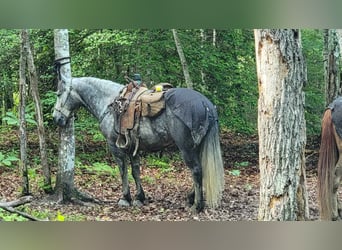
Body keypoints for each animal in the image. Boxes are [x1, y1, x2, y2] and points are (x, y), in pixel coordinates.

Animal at [52, 77, 224, 212]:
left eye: (59, 94)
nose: (56, 118)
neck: (109, 102)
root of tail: (206, 104)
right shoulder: (133, 148)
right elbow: (135, 172)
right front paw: (140, 197)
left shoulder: (115, 147)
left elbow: (123, 171)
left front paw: (125, 198)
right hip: (197, 146)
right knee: (201, 169)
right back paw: (191, 198)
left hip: (186, 148)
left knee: (196, 170)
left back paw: (197, 205)